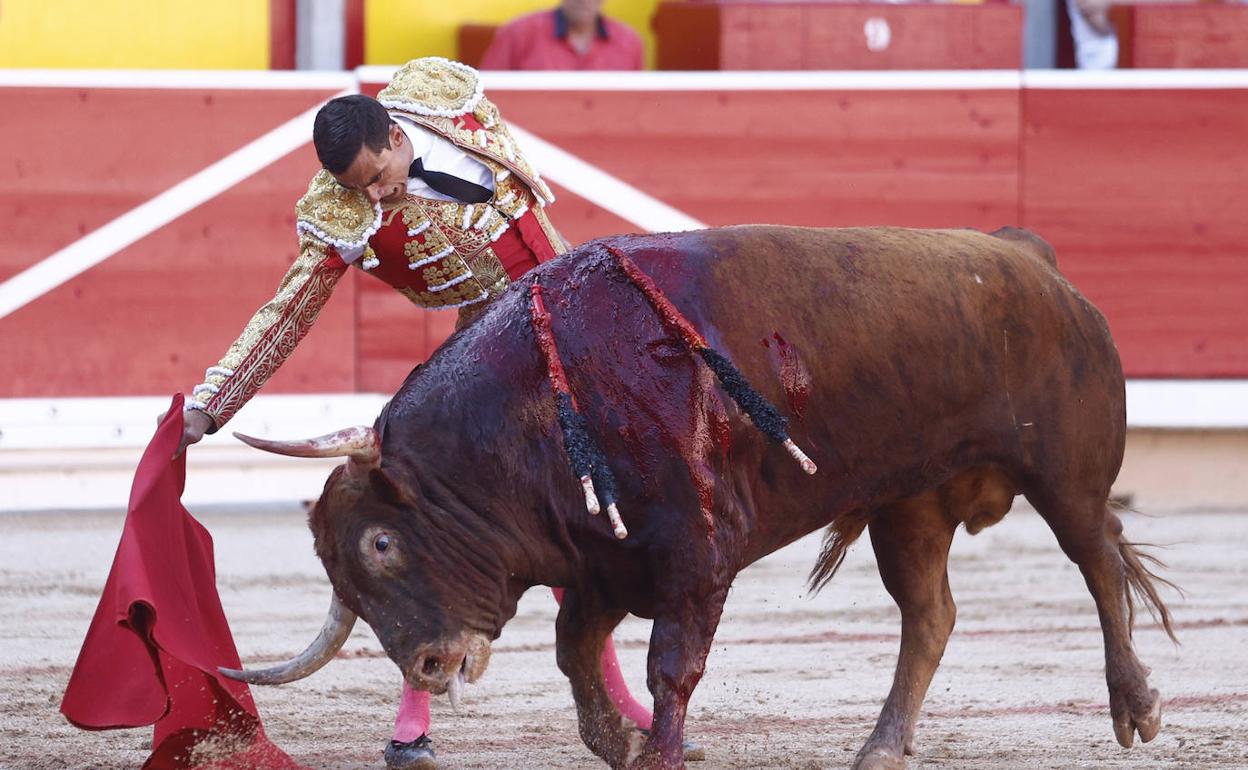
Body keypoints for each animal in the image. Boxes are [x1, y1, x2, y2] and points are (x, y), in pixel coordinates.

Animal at [229, 224, 1173, 768]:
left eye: (381, 544)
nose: (426, 663)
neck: (543, 405)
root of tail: (1030, 258)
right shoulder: (603, 566)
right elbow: (577, 656)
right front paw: (618, 742)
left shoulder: (693, 564)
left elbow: (669, 669)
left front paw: (657, 753)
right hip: (910, 504)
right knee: (929, 613)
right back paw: (881, 747)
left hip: (1066, 470)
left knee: (1097, 562)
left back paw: (1136, 707)